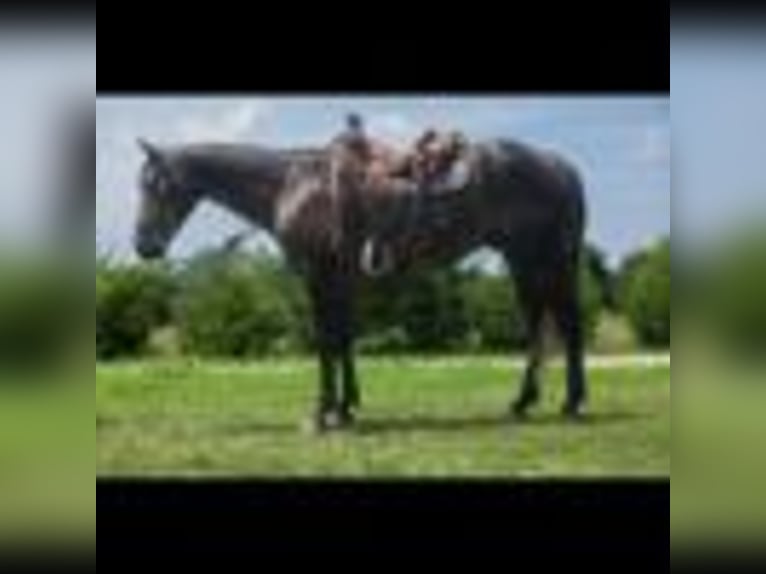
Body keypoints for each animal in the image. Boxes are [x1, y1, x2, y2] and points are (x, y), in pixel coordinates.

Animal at [133, 135, 589, 432]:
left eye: (154, 185)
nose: (144, 246)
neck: (291, 184)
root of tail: (560, 166)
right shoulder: (341, 282)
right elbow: (344, 340)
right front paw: (347, 408)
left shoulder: (318, 278)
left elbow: (325, 344)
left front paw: (322, 415)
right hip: (524, 263)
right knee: (538, 325)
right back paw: (524, 402)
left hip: (549, 261)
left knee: (568, 325)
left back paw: (570, 403)